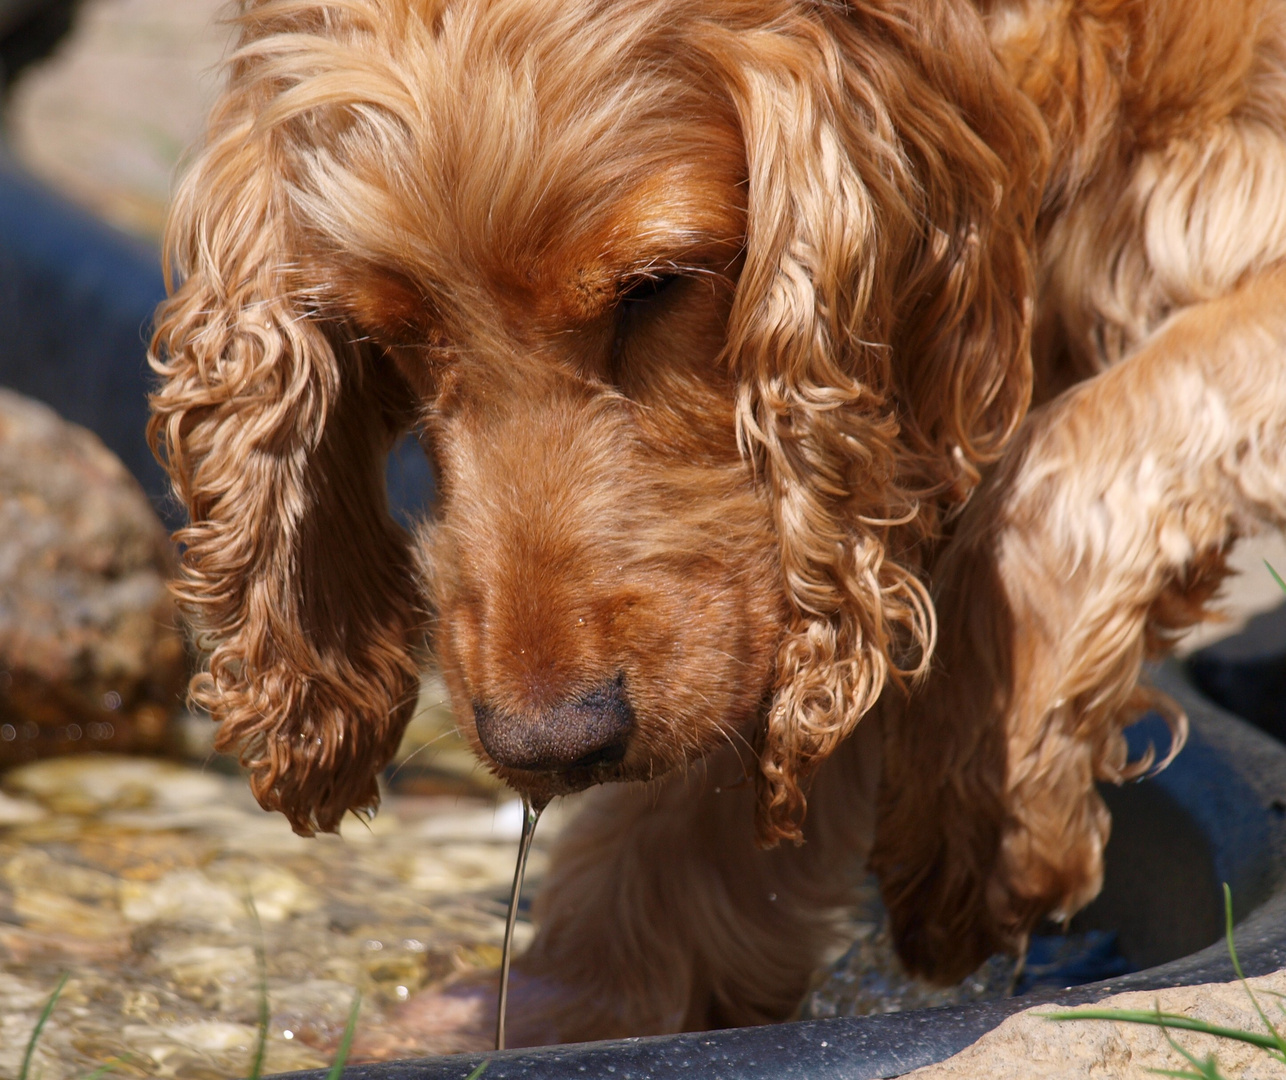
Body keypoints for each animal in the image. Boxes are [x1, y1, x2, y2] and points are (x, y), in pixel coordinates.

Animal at [147, 0, 1286, 1044]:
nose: (548, 745)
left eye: (653, 288)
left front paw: (984, 815)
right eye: (389, 333)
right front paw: (561, 1005)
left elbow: (1057, 472)